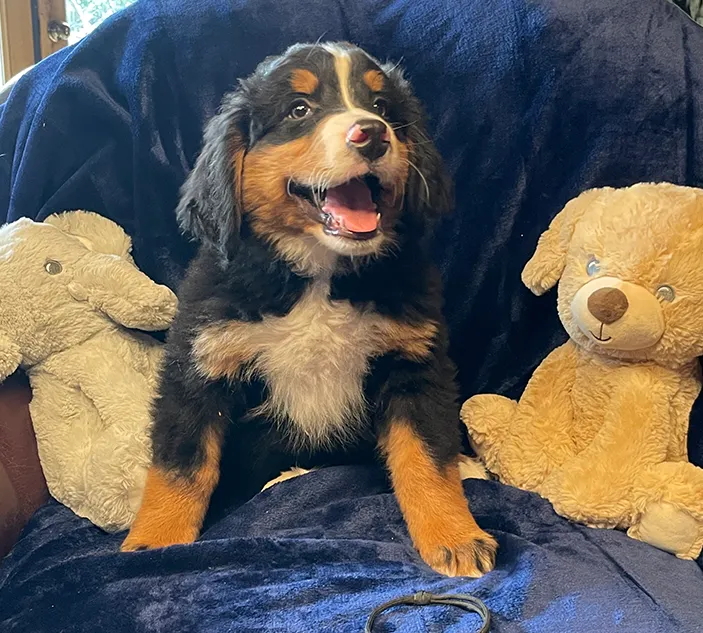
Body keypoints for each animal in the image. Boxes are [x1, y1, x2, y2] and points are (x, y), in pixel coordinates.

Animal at [122, 40, 496, 576]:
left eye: (382, 107)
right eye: (299, 110)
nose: (372, 133)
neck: (318, 275)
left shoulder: (413, 363)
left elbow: (427, 458)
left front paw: (455, 536)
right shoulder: (199, 367)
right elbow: (180, 466)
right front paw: (154, 544)